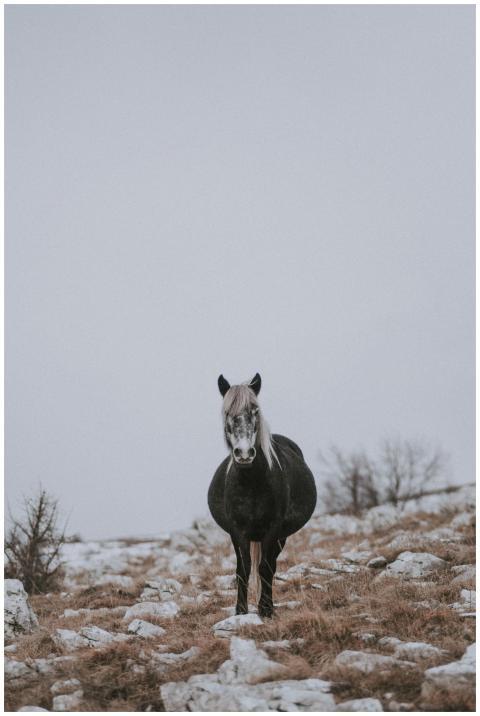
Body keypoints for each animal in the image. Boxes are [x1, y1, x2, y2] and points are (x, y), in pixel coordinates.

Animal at [208, 373, 317, 618]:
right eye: (227, 413)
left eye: (255, 411)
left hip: (281, 537)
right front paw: (240, 611)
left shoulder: (273, 528)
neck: (252, 483)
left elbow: (265, 568)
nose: (244, 453)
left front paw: (265, 610)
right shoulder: (238, 530)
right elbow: (243, 568)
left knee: (271, 565)